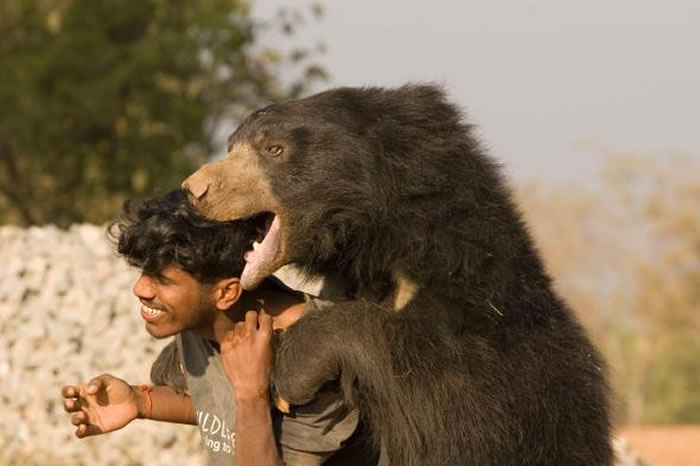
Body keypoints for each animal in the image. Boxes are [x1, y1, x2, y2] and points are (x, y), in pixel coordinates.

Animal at [182, 84, 613, 465]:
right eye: (231, 146)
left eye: (274, 149)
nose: (195, 189)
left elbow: (441, 396)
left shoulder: (485, 331)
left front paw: (291, 367)